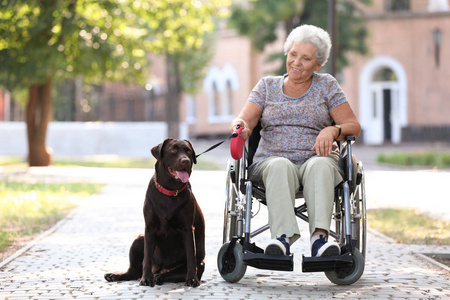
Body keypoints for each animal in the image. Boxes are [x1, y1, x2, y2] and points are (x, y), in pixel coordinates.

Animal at [104, 138, 205, 286]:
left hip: (200, 262)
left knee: (174, 272)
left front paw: (192, 279)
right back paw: (116, 275)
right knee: (134, 271)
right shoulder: (149, 228)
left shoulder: (187, 229)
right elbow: (147, 257)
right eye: (173, 150)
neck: (170, 191)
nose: (185, 161)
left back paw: (159, 277)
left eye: (188, 151)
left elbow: (190, 257)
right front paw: (146, 279)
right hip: (139, 239)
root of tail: (160, 269)